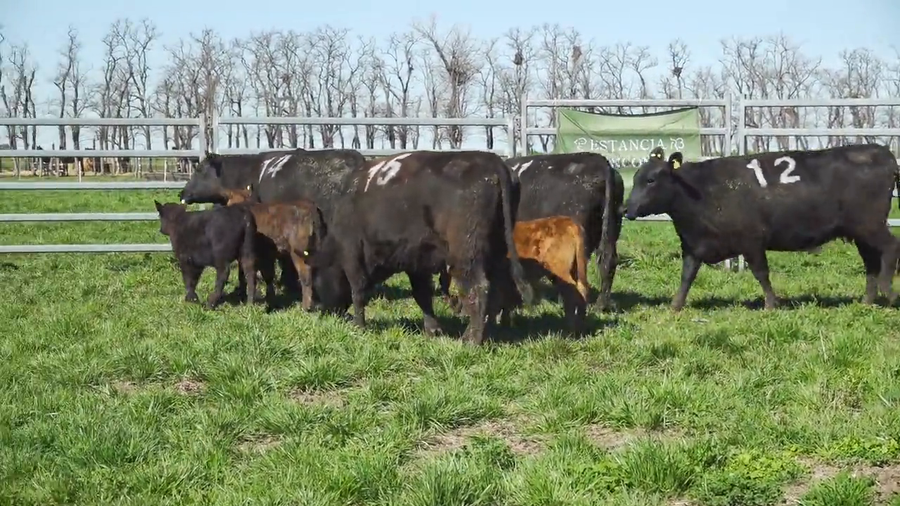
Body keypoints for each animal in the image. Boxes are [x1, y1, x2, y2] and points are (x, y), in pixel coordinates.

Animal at [307, 150, 534, 345]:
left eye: (317, 278)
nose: (321, 310)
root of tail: (493, 162)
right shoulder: (416, 263)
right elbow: (422, 295)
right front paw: (433, 330)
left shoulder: (352, 254)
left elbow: (358, 290)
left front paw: (359, 326)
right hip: (495, 252)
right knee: (496, 290)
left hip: (466, 256)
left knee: (478, 289)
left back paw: (470, 340)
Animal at [445, 215, 591, 333]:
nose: (458, 310)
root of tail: (569, 222)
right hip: (573, 269)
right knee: (581, 288)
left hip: (559, 269)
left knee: (573, 291)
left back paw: (572, 328)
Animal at [624, 144, 900, 310]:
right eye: (636, 178)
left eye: (651, 180)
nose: (627, 209)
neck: (702, 190)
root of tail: (881, 152)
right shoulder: (693, 245)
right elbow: (687, 276)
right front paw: (675, 306)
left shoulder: (752, 241)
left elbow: (761, 273)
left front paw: (770, 305)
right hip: (861, 233)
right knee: (871, 264)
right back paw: (866, 301)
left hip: (871, 225)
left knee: (891, 247)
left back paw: (890, 292)